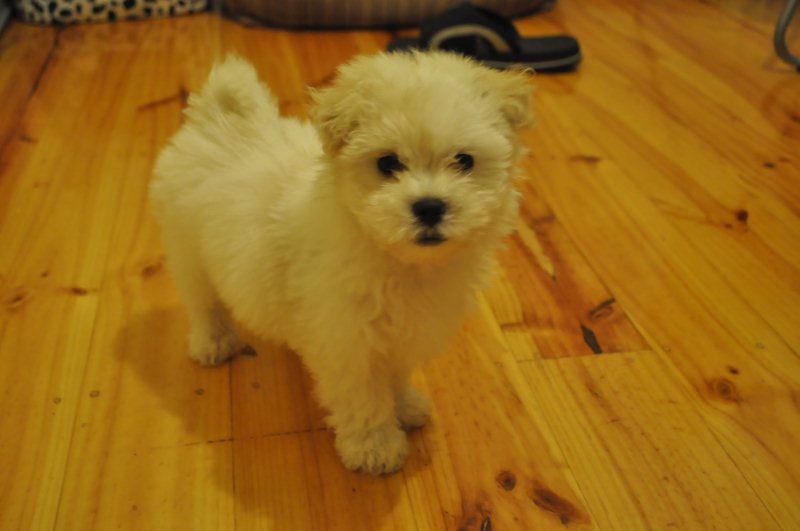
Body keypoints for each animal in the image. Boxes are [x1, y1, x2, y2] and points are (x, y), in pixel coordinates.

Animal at [150, 52, 533, 474]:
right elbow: (363, 397)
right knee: (202, 301)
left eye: (464, 161)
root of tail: (218, 120)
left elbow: (394, 374)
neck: (397, 260)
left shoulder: (398, 334)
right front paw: (374, 447)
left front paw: (404, 406)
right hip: (186, 248)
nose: (430, 206)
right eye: (387, 163)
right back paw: (213, 341)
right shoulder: (349, 343)